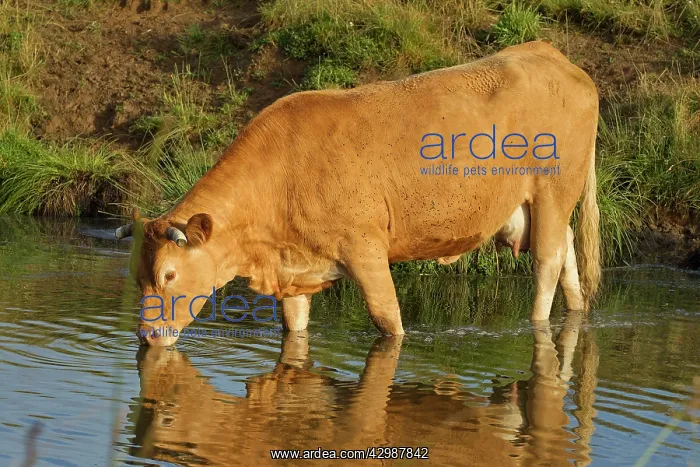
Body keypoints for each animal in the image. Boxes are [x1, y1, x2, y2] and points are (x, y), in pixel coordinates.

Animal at [116, 40, 601, 346]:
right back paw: (577, 314)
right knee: (566, 250)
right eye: (137, 277)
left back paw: (538, 323)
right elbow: (294, 327)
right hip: (537, 206)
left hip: (553, 188)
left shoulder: (366, 248)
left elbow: (389, 320)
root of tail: (549, 53)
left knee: (547, 261)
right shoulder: (295, 268)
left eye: (169, 275)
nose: (146, 335)